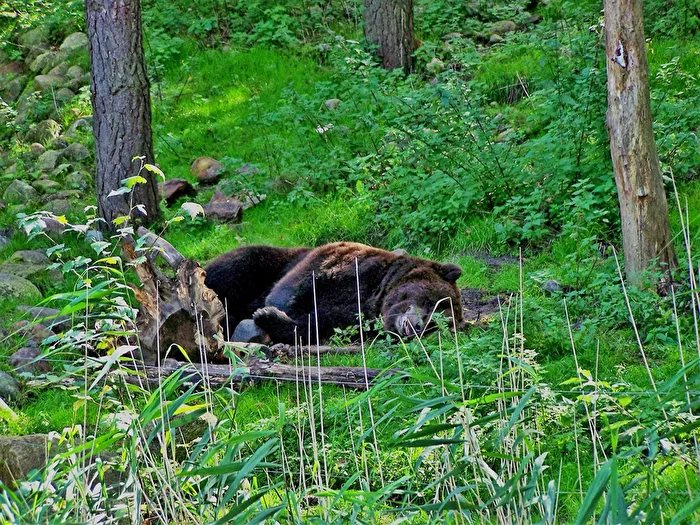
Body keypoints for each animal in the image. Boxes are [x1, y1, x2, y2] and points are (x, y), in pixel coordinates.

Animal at [204, 241, 464, 344]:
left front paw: (269, 316)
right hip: (263, 263)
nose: (417, 327)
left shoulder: (354, 317)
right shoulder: (348, 264)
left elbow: (318, 324)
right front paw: (271, 307)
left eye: (435, 324)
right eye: (430, 301)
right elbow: (296, 285)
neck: (376, 293)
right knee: (234, 267)